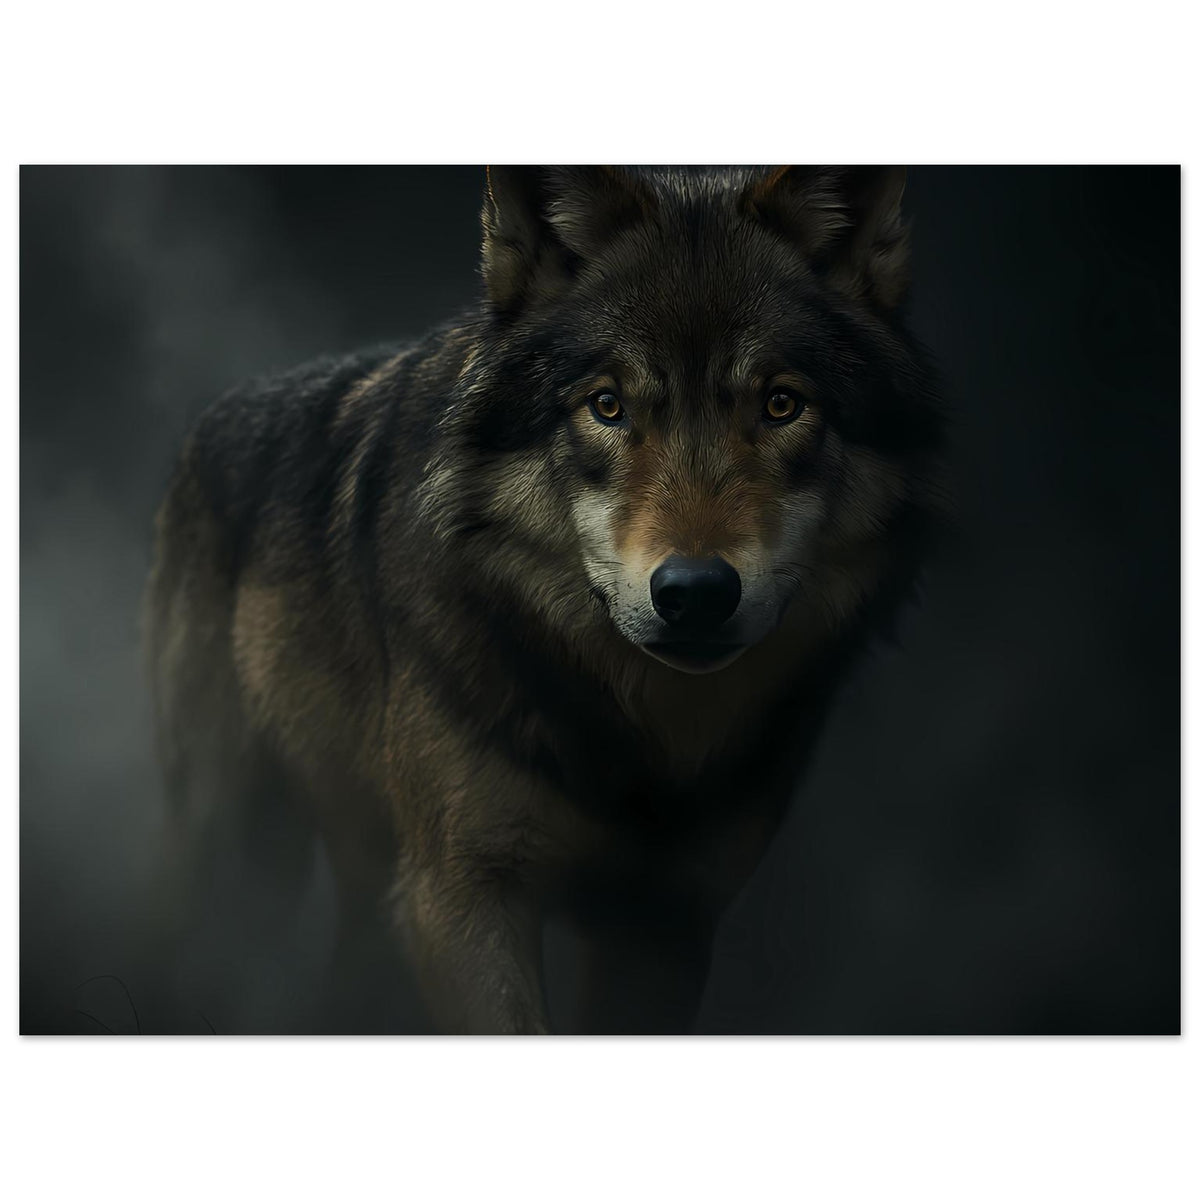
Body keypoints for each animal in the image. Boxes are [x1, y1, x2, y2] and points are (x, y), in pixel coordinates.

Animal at [145, 166, 944, 1033]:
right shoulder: (459, 895)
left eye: (780, 405)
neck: (635, 738)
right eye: (607, 406)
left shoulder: (665, 923)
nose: (696, 593)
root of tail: (216, 412)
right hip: (233, 838)